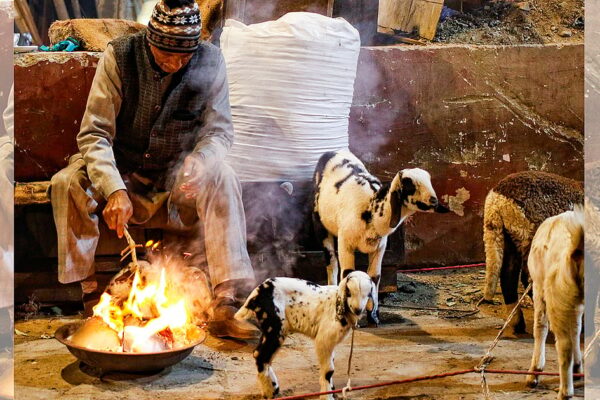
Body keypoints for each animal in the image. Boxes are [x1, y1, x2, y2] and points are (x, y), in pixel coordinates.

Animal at [235, 271, 376, 400]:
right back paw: (269, 392)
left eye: (367, 294)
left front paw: (332, 391)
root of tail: (258, 292)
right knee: (260, 354)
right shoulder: (323, 340)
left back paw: (273, 388)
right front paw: (327, 395)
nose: (358, 310)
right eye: (349, 292)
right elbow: (329, 370)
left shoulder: (330, 343)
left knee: (263, 355)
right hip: (275, 325)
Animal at [312, 150, 449, 325]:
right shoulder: (345, 243)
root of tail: (333, 151)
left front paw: (373, 316)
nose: (434, 201)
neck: (372, 209)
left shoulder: (379, 247)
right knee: (332, 263)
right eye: (409, 184)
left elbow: (374, 277)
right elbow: (347, 273)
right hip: (320, 225)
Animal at [481, 170, 583, 334]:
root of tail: (495, 201)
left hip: (509, 237)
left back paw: (518, 323)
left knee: (508, 276)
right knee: (529, 279)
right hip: (528, 235)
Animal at [525, 207, 584, 400]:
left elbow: (540, 327)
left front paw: (534, 372)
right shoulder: (574, 304)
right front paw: (578, 366)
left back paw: (565, 392)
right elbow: (576, 329)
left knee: (564, 344)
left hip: (554, 297)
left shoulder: (539, 288)